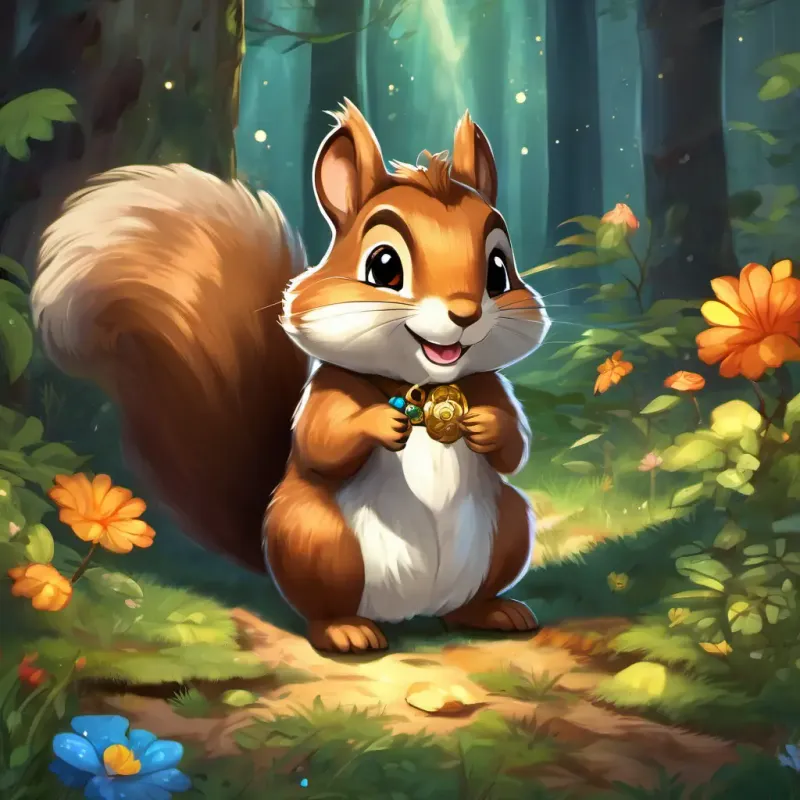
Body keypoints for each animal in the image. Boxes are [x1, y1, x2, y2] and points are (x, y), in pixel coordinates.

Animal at [31, 100, 550, 653]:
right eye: (384, 266)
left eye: (499, 271)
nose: (464, 313)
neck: (424, 386)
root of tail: (410, 612)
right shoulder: (330, 389)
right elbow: (322, 441)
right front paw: (379, 424)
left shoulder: (490, 385)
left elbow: (514, 447)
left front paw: (485, 427)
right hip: (316, 538)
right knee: (322, 608)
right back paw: (345, 630)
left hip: (510, 527)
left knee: (465, 601)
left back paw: (493, 611)